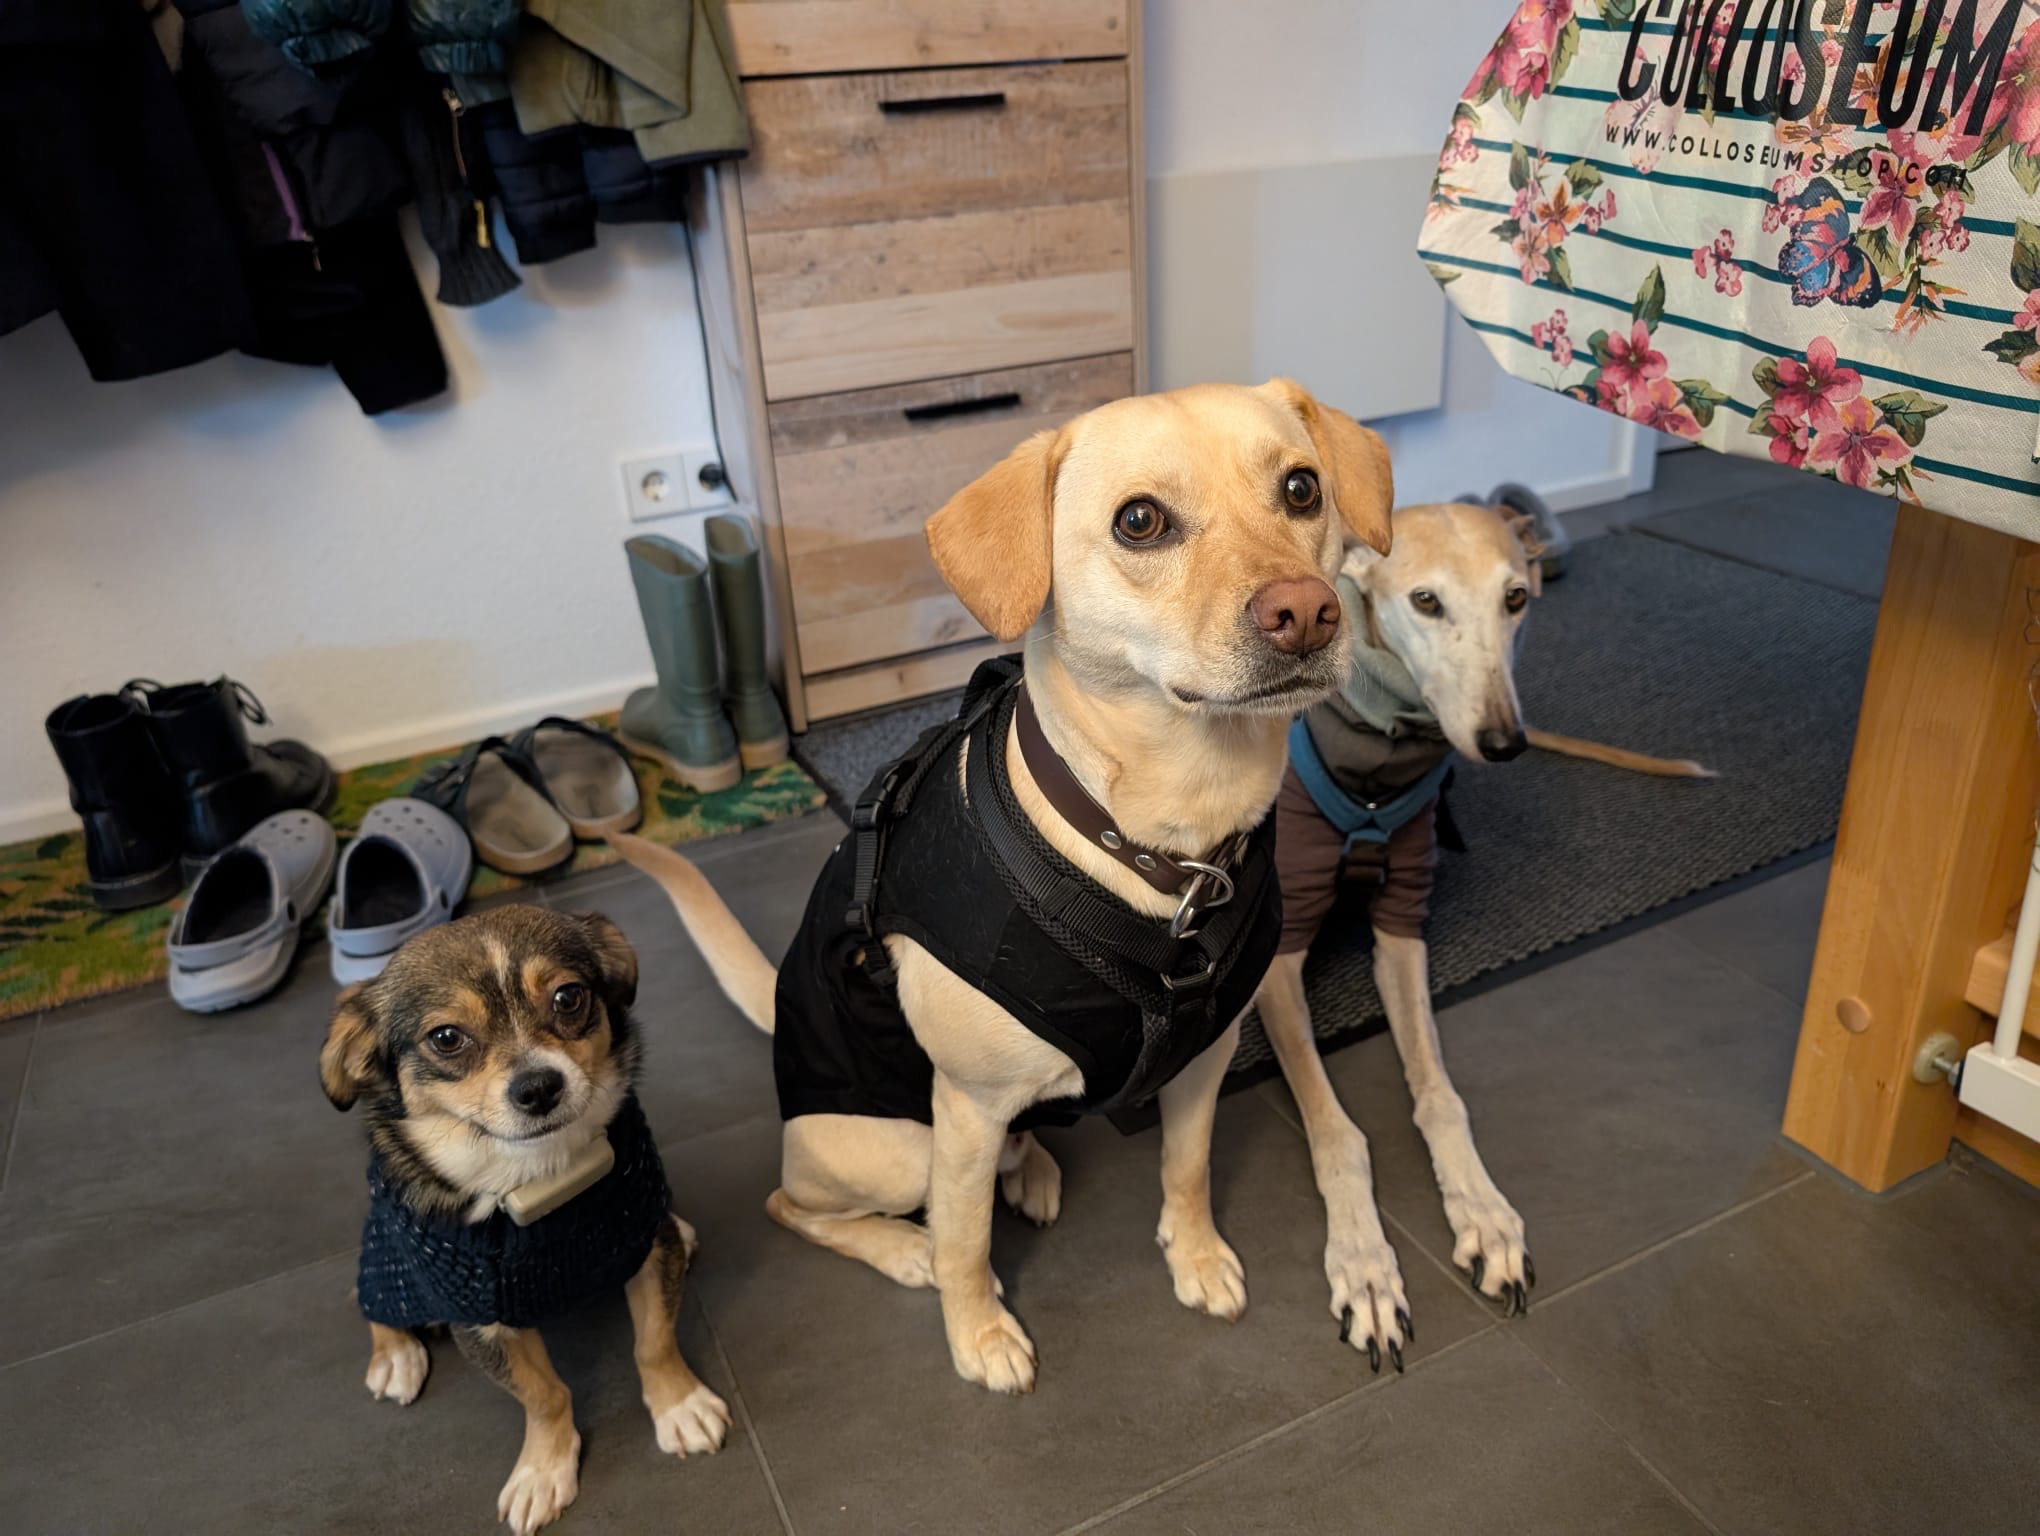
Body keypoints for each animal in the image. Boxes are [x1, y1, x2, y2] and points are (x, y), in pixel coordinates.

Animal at [320, 906, 729, 1535]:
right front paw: (543, 1470)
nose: (538, 1087)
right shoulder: (483, 1320)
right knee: (372, 1293)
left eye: (568, 997)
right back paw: (395, 1356)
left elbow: (654, 1342)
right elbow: (543, 1394)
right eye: (446, 1038)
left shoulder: (644, 1244)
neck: (543, 1178)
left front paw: (679, 1406)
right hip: (384, 1247)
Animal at [611, 379, 1395, 1396]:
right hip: (898, 1147)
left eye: (1302, 488)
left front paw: (1194, 1256)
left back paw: (1032, 1173)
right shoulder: (967, 1109)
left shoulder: (1206, 1057)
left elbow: (1186, 1168)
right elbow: (967, 1246)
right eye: (1140, 521)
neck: (1170, 848)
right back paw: (907, 1245)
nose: (1305, 612)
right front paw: (978, 1334)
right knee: (806, 1206)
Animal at [1256, 498, 1711, 1369]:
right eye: (1426, 601)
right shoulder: (1278, 957)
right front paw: (1365, 1265)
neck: (1382, 738)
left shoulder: (1403, 926)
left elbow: (1441, 1099)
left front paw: (1484, 1213)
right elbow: (1337, 1133)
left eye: (1516, 599)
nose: (1503, 742)